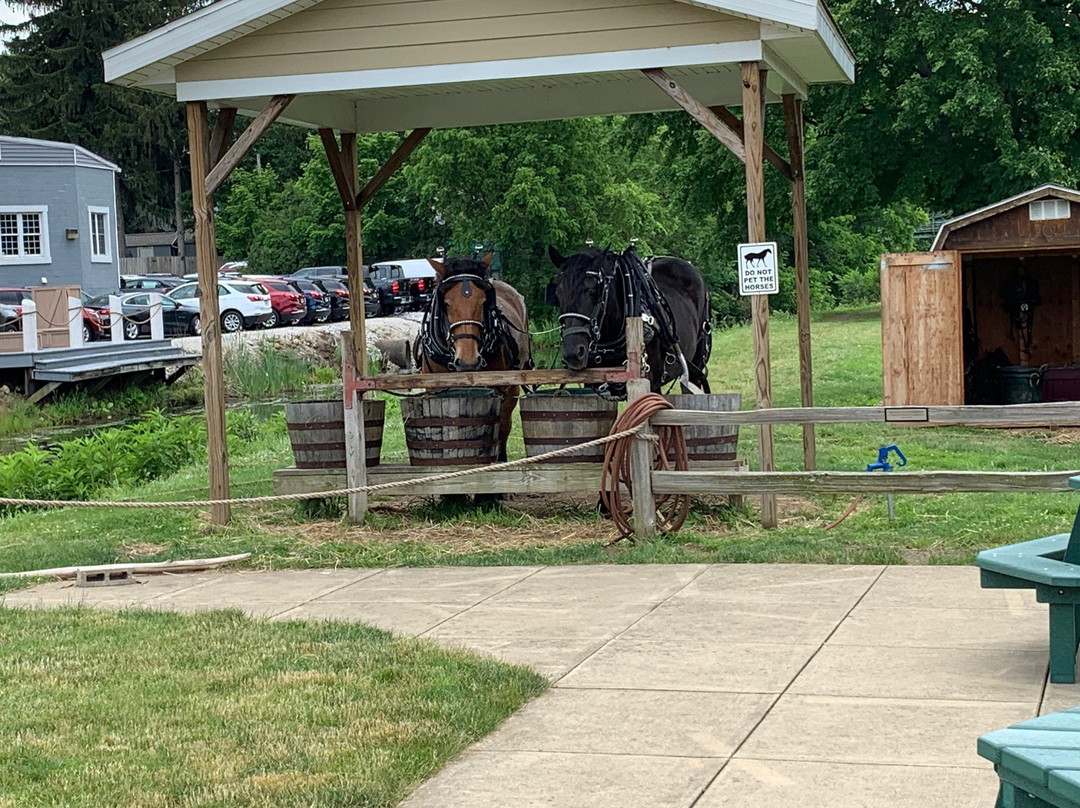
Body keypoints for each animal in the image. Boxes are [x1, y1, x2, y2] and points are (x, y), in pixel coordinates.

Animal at [416, 256, 531, 464]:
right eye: (446, 303)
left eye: (484, 302)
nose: (468, 361)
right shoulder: (433, 390)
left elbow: (498, 426)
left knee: (504, 424)